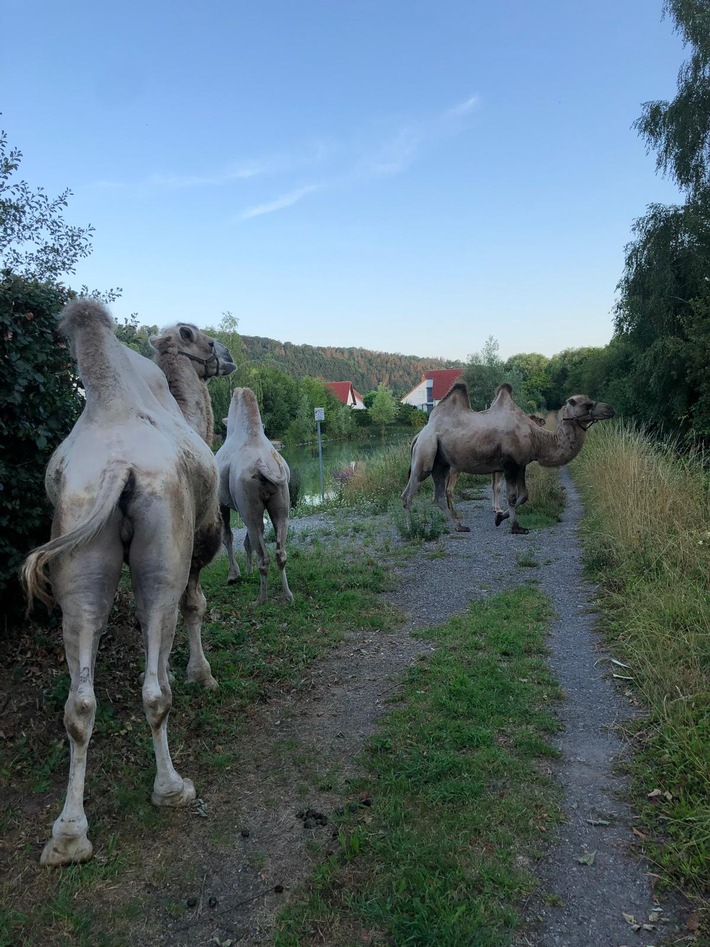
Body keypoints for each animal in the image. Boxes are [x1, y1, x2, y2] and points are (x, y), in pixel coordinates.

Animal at [22, 302, 224, 868]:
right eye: (204, 339)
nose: (226, 359)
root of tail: (116, 465)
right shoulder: (200, 536)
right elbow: (195, 604)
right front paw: (200, 675)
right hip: (163, 533)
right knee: (153, 684)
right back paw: (172, 787)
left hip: (77, 536)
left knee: (79, 702)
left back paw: (68, 836)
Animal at [217, 386, 294, 604]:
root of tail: (263, 467)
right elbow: (246, 541)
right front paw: (247, 570)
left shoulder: (222, 503)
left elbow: (227, 536)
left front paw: (234, 575)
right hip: (279, 503)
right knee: (280, 550)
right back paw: (288, 595)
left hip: (249, 508)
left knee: (263, 553)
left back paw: (261, 599)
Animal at [404, 384, 616, 532]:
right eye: (587, 404)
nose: (610, 409)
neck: (536, 437)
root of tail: (419, 434)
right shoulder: (510, 464)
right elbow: (512, 497)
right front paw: (516, 527)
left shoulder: (521, 464)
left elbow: (524, 495)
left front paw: (500, 518)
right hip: (425, 454)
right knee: (408, 493)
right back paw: (412, 529)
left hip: (440, 463)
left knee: (438, 495)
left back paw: (460, 526)